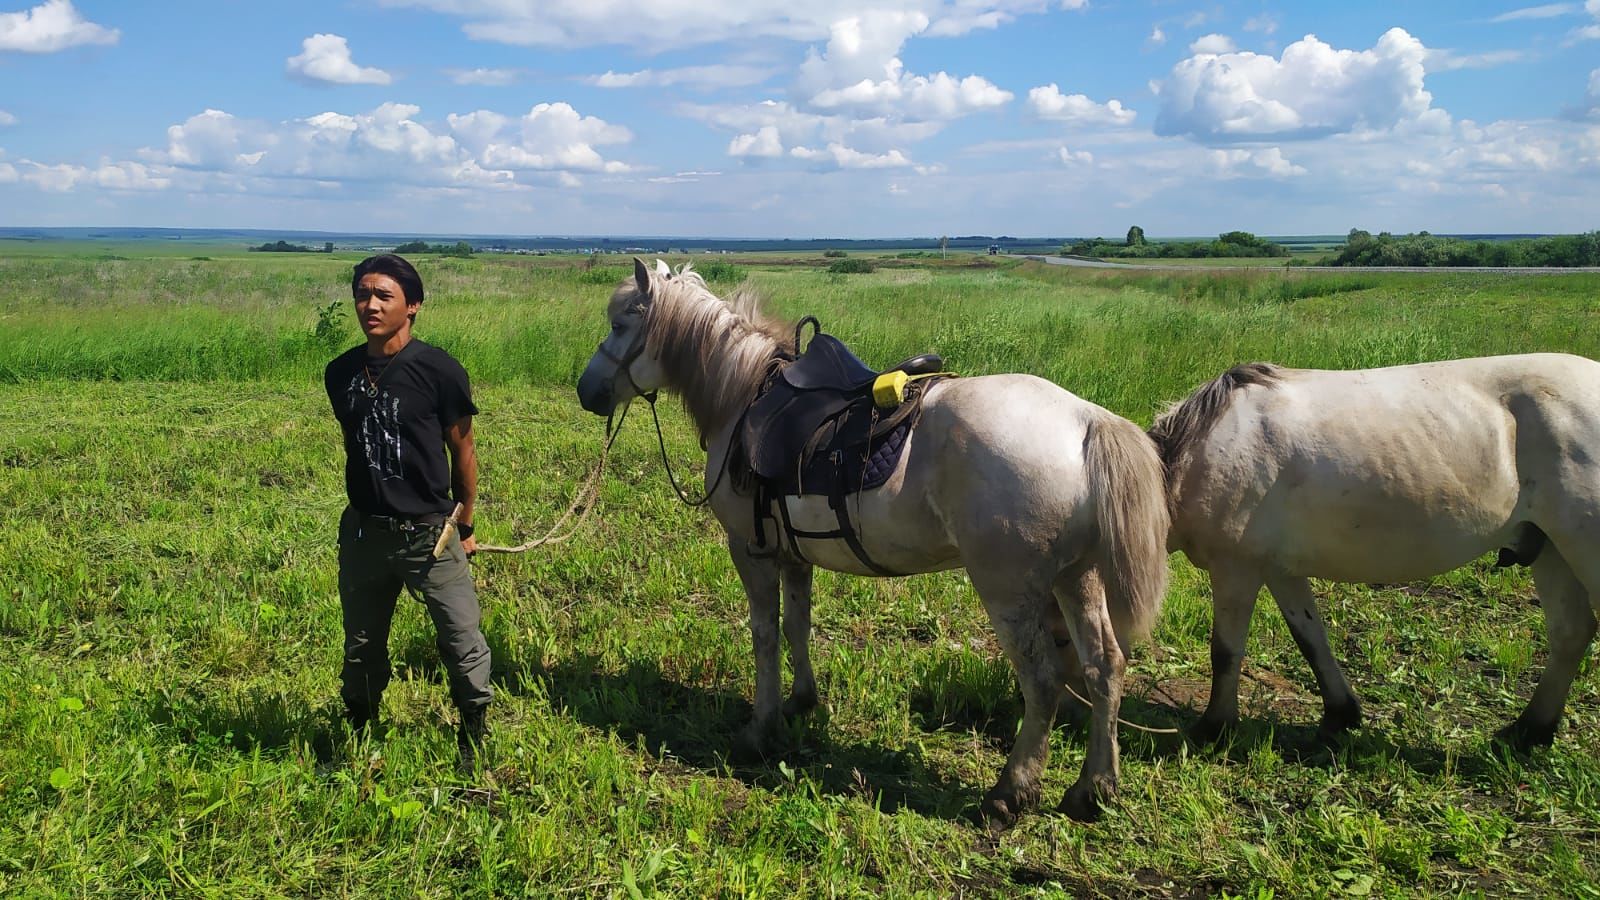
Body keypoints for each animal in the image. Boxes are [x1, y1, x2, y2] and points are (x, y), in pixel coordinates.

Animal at [576, 259, 1164, 819]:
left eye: (620, 323)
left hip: (1010, 590)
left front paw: (759, 729)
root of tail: (1085, 420)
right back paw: (1093, 789)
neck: (743, 395)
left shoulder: (751, 549)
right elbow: (796, 626)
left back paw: (1010, 792)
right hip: (1076, 578)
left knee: (1043, 681)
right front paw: (800, 702)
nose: (586, 391)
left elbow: (764, 636)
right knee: (1104, 667)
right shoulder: (793, 554)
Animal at [1152, 353, 1600, 746]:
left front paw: (1214, 727)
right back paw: (1530, 730)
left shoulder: (1236, 568)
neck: (1200, 452)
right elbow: (1311, 640)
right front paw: (1340, 714)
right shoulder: (1280, 570)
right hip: (1551, 551)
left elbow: (1225, 651)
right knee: (1571, 633)